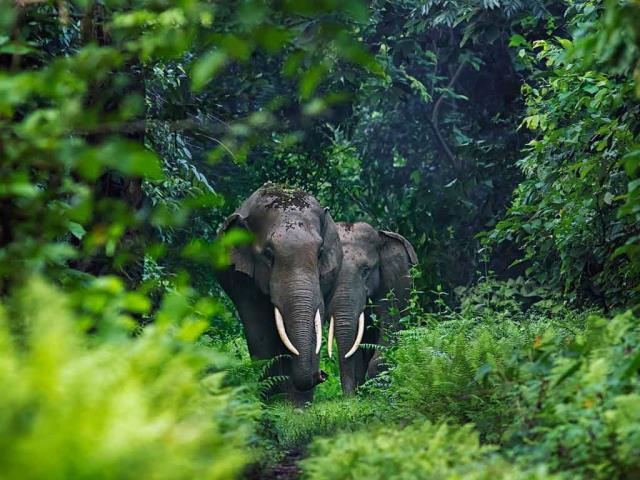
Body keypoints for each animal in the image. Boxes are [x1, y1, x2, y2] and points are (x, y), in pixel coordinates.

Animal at [216, 184, 343, 403]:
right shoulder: (242, 280)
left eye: (320, 253)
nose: (322, 375)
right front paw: (272, 401)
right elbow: (260, 329)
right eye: (268, 254)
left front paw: (298, 406)